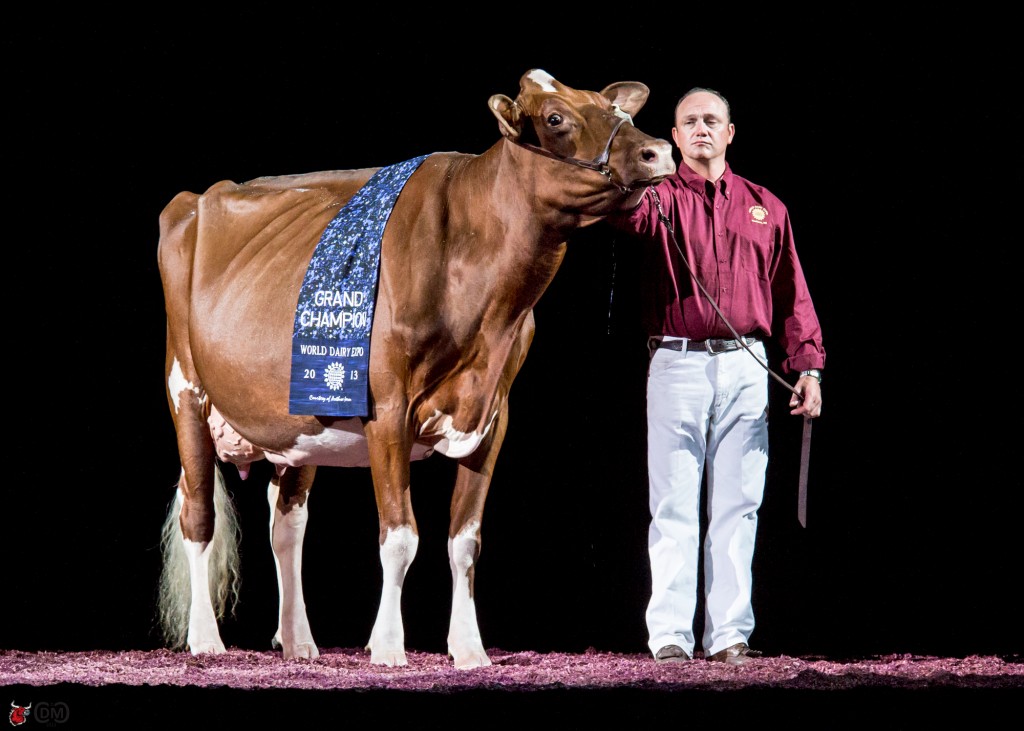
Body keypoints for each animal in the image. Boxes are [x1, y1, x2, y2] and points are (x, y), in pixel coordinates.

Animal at [157, 68, 671, 667]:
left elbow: (464, 540)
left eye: (620, 112)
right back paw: (206, 639)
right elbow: (400, 536)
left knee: (286, 523)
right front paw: (388, 646)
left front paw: (469, 648)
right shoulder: (387, 408)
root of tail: (198, 198)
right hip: (186, 389)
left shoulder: (493, 414)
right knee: (199, 516)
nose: (659, 152)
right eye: (556, 118)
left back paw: (299, 641)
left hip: (298, 417)